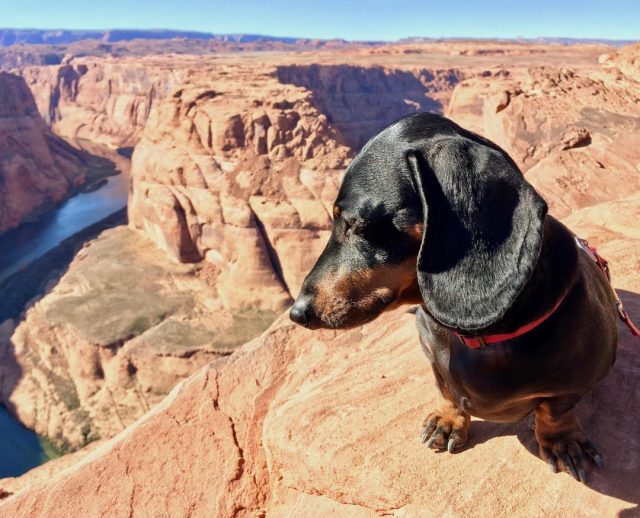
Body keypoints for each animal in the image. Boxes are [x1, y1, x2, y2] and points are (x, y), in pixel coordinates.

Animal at [290, 112, 620, 484]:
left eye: (352, 222)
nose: (297, 313)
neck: (478, 337)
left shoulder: (579, 380)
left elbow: (554, 409)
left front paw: (562, 441)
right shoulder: (431, 351)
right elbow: (444, 387)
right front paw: (447, 421)